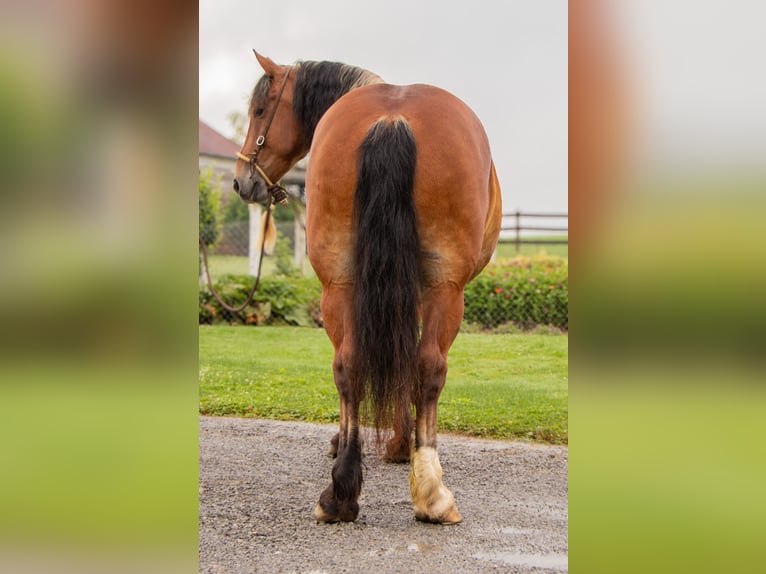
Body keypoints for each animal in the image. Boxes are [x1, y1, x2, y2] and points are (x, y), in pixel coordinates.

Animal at [237, 54, 508, 528]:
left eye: (259, 111)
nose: (240, 181)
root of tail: (392, 118)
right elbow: (406, 364)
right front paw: (403, 444)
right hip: (444, 288)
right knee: (428, 367)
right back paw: (432, 493)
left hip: (339, 283)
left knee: (349, 365)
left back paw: (340, 494)